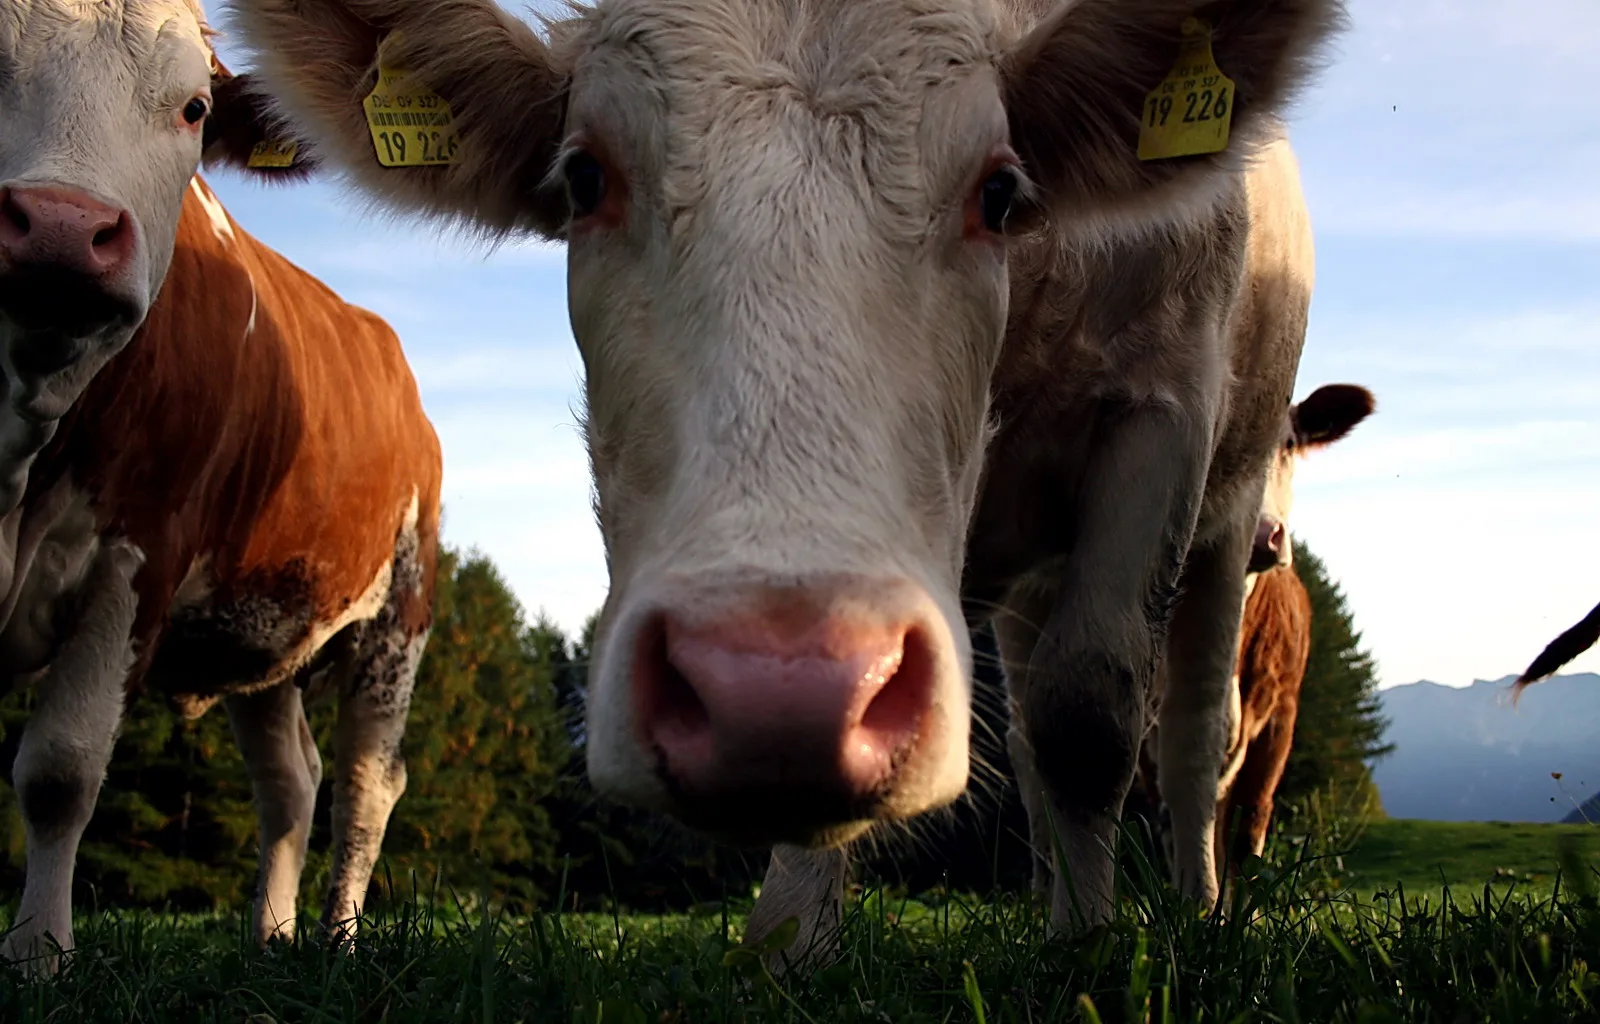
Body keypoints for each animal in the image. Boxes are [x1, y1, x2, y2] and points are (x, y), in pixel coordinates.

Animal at [0, 0, 442, 971]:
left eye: (195, 108)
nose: (59, 225)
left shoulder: (141, 552)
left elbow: (60, 769)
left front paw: (40, 954)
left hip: (400, 614)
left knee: (364, 784)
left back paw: (339, 941)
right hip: (266, 623)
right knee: (291, 783)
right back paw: (270, 936)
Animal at [228, 0, 1347, 940]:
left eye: (999, 190)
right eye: (584, 177)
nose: (773, 687)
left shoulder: (1159, 408)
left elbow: (1093, 710)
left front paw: (1090, 952)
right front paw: (793, 944)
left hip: (1228, 510)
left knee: (1191, 724)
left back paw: (1194, 906)